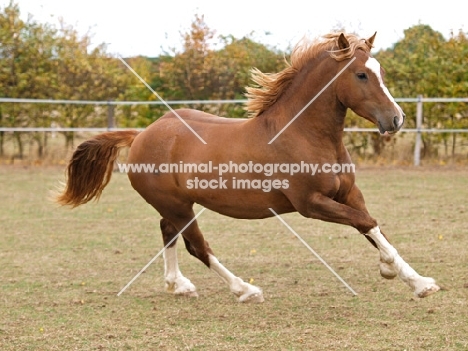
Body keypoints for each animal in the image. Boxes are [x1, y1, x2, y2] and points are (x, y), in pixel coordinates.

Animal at [56, 32, 440, 302]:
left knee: (169, 234)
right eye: (361, 74)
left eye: (381, 72)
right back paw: (244, 290)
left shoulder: (349, 193)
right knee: (197, 246)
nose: (396, 119)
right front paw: (400, 275)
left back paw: (179, 286)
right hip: (178, 205)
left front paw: (414, 279)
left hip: (176, 205)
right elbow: (366, 223)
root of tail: (141, 136)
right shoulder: (310, 204)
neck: (304, 135)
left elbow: (373, 226)